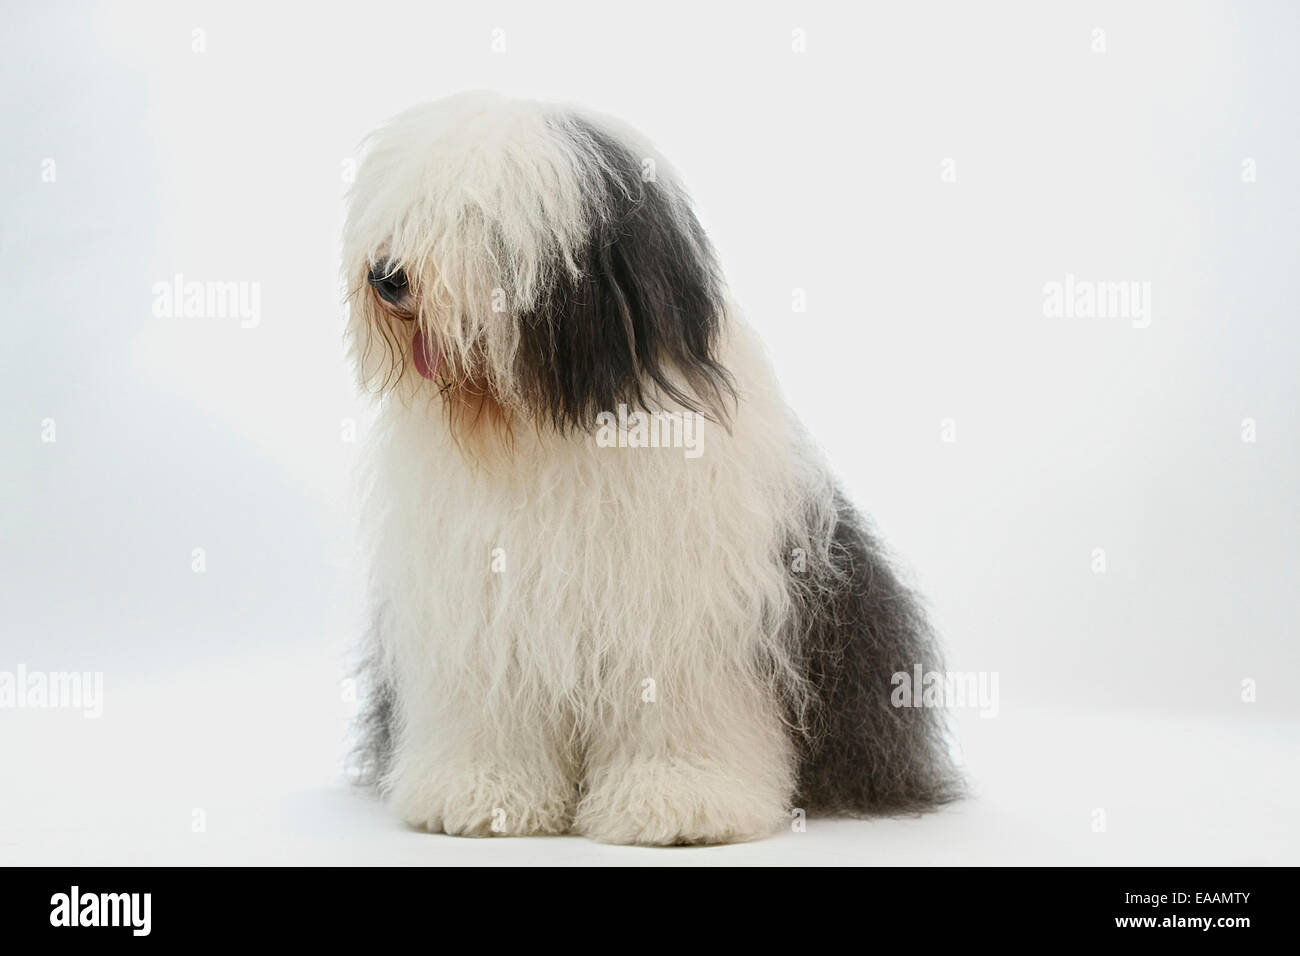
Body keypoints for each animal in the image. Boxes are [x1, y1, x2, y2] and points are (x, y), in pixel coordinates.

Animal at [340, 93, 961, 848]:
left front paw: (678, 801)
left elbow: (676, 709)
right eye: (406, 208)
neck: (550, 428)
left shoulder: (685, 609)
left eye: (481, 219)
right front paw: (480, 793)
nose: (386, 276)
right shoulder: (479, 605)